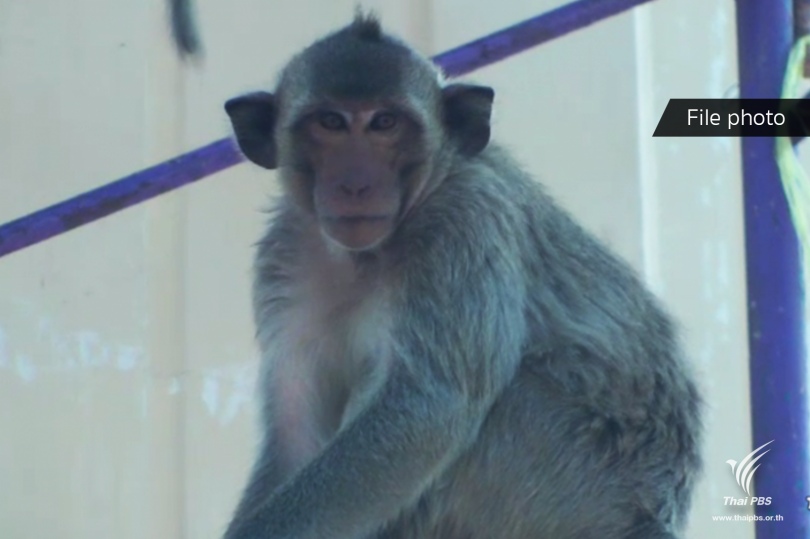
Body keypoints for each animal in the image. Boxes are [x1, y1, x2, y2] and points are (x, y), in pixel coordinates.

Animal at [221, 13, 702, 539]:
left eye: (385, 123)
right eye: (330, 123)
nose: (355, 184)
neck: (364, 256)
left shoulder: (464, 222)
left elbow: (432, 409)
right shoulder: (285, 258)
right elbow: (296, 433)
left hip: (574, 480)